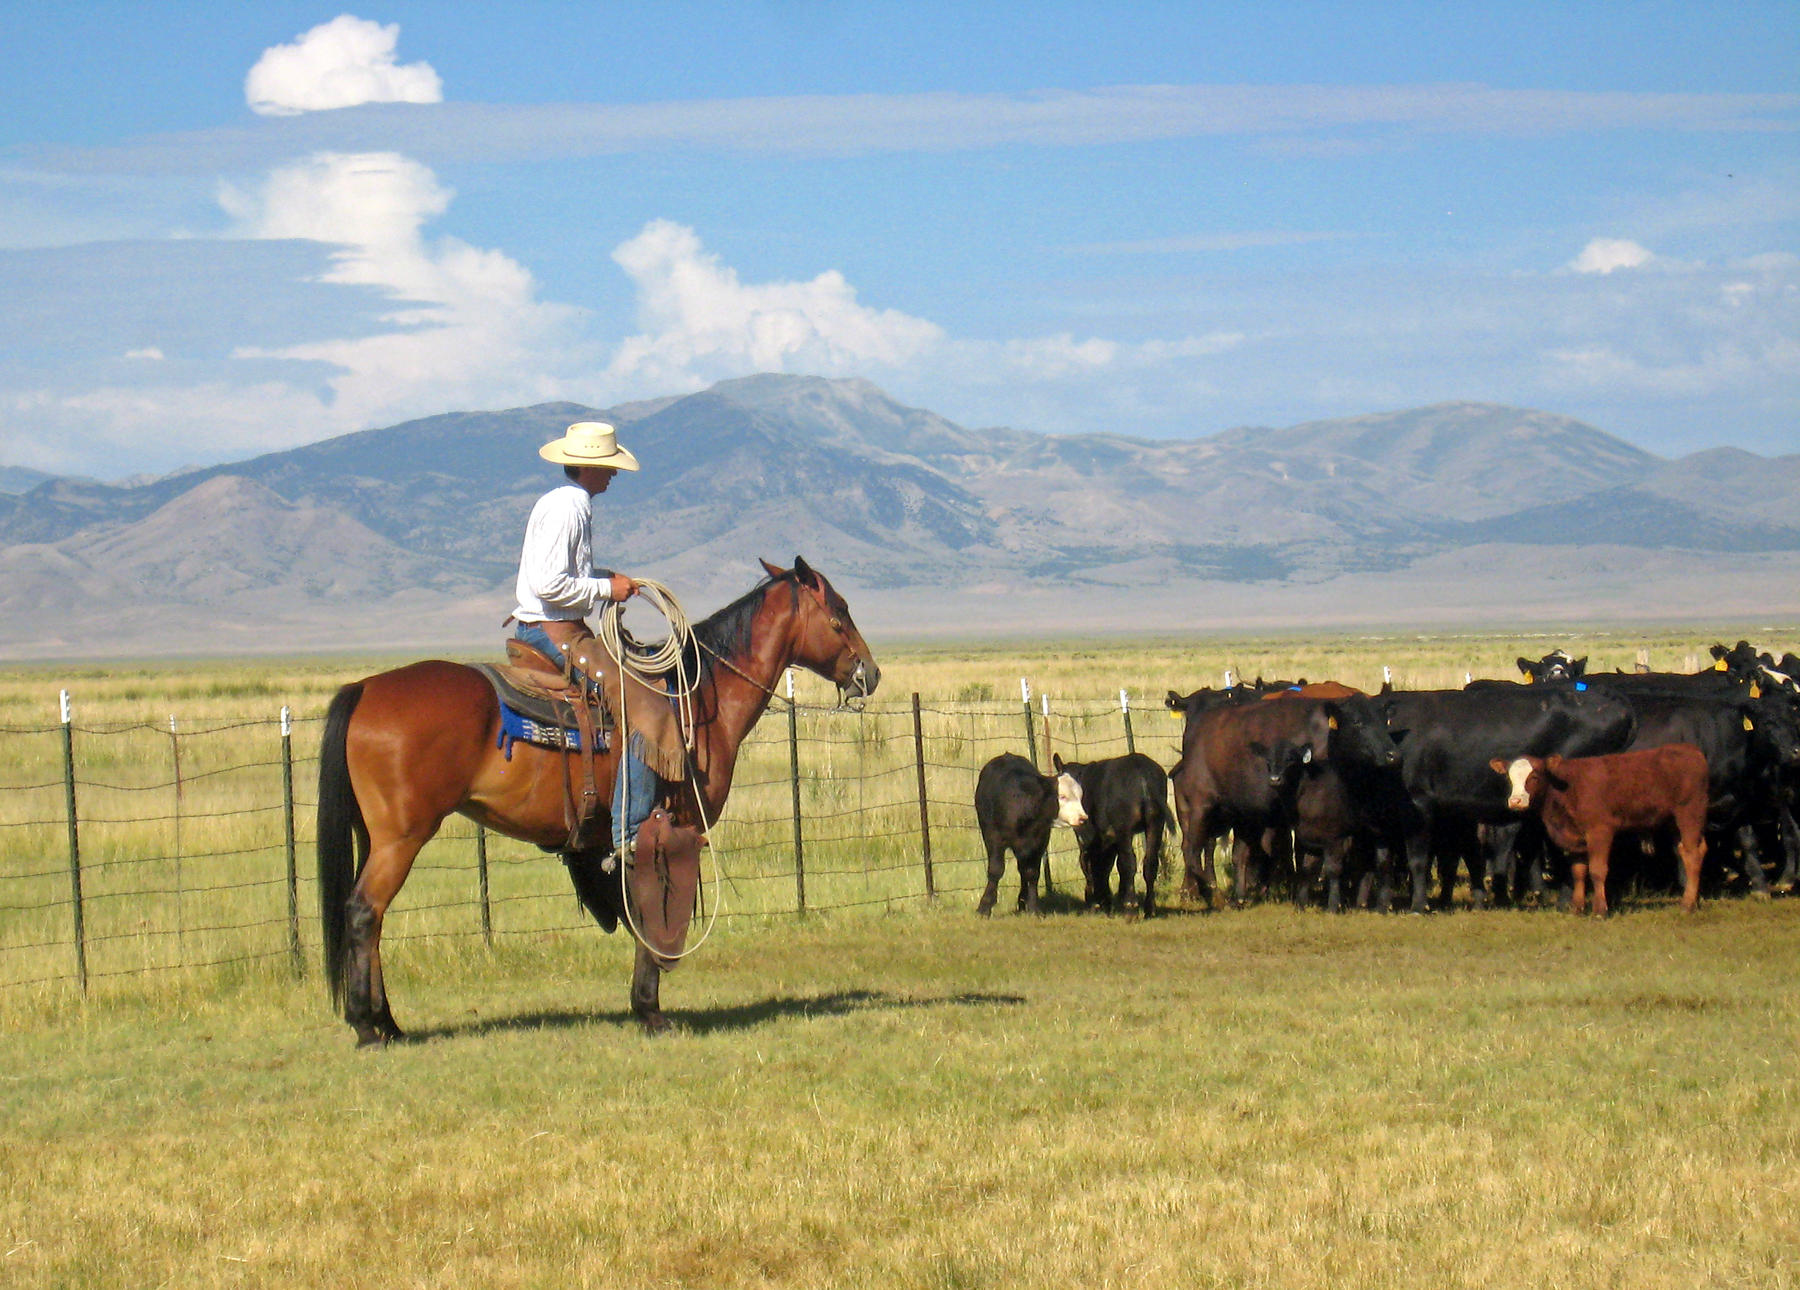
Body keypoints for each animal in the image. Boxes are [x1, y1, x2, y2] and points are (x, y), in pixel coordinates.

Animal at [316, 557, 878, 1043]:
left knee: (372, 916)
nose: (869, 673)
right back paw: (367, 1026)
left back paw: (388, 1023)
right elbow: (649, 909)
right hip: (402, 837)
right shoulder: (670, 828)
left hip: (376, 837)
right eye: (839, 610)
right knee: (365, 911)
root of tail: (364, 687)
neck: (698, 701)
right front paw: (651, 1011)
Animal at [979, 748, 1087, 921]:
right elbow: (996, 870)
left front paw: (1033, 908)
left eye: (1080, 796)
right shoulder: (994, 838)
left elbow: (1031, 873)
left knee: (1023, 868)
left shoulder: (1039, 841)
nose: (1083, 818)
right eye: (1062, 796)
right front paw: (984, 907)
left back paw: (1022, 901)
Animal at [1051, 755, 1173, 917]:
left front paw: (1096, 902)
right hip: (1155, 823)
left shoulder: (1088, 836)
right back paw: (1149, 909)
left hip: (1124, 827)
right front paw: (1107, 900)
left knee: (1129, 862)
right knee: (1150, 862)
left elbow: (1091, 865)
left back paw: (1130, 906)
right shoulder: (1110, 838)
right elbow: (1108, 865)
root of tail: (1141, 768)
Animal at [1490, 741, 1713, 910]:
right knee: (1688, 850)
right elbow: (1578, 871)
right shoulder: (1574, 836)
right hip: (1673, 821)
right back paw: (1690, 900)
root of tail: (1691, 749)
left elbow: (1597, 870)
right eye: (1509, 778)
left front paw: (1600, 909)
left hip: (1690, 812)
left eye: (1534, 776)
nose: (1515, 801)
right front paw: (1578, 908)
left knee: (1693, 853)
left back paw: (1687, 905)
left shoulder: (1600, 831)